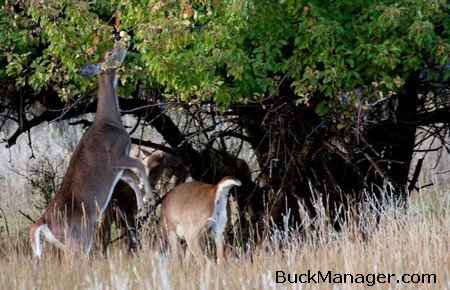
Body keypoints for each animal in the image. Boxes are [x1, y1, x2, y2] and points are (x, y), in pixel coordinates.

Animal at [29, 39, 155, 260]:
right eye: (110, 53)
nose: (124, 40)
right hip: (80, 238)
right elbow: (139, 166)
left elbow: (132, 175)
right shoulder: (116, 155)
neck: (109, 121)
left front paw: (141, 208)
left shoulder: (117, 167)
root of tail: (42, 222)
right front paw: (151, 201)